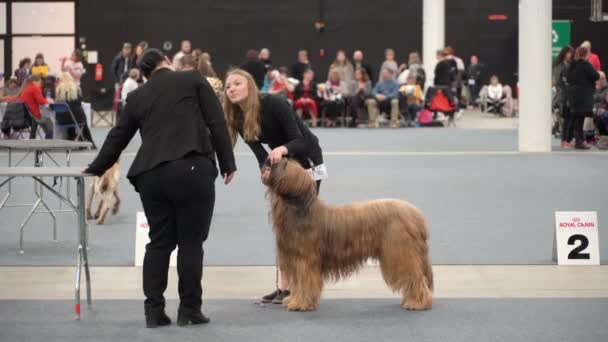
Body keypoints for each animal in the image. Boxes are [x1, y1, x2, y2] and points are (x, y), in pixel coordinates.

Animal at [264, 159, 432, 312]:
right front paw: (293, 299)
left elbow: (305, 282)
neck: (297, 208)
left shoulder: (305, 260)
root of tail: (417, 215)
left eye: (285, 163)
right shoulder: (295, 259)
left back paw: (418, 303)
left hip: (399, 253)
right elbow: (298, 282)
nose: (269, 160)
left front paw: (300, 303)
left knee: (415, 278)